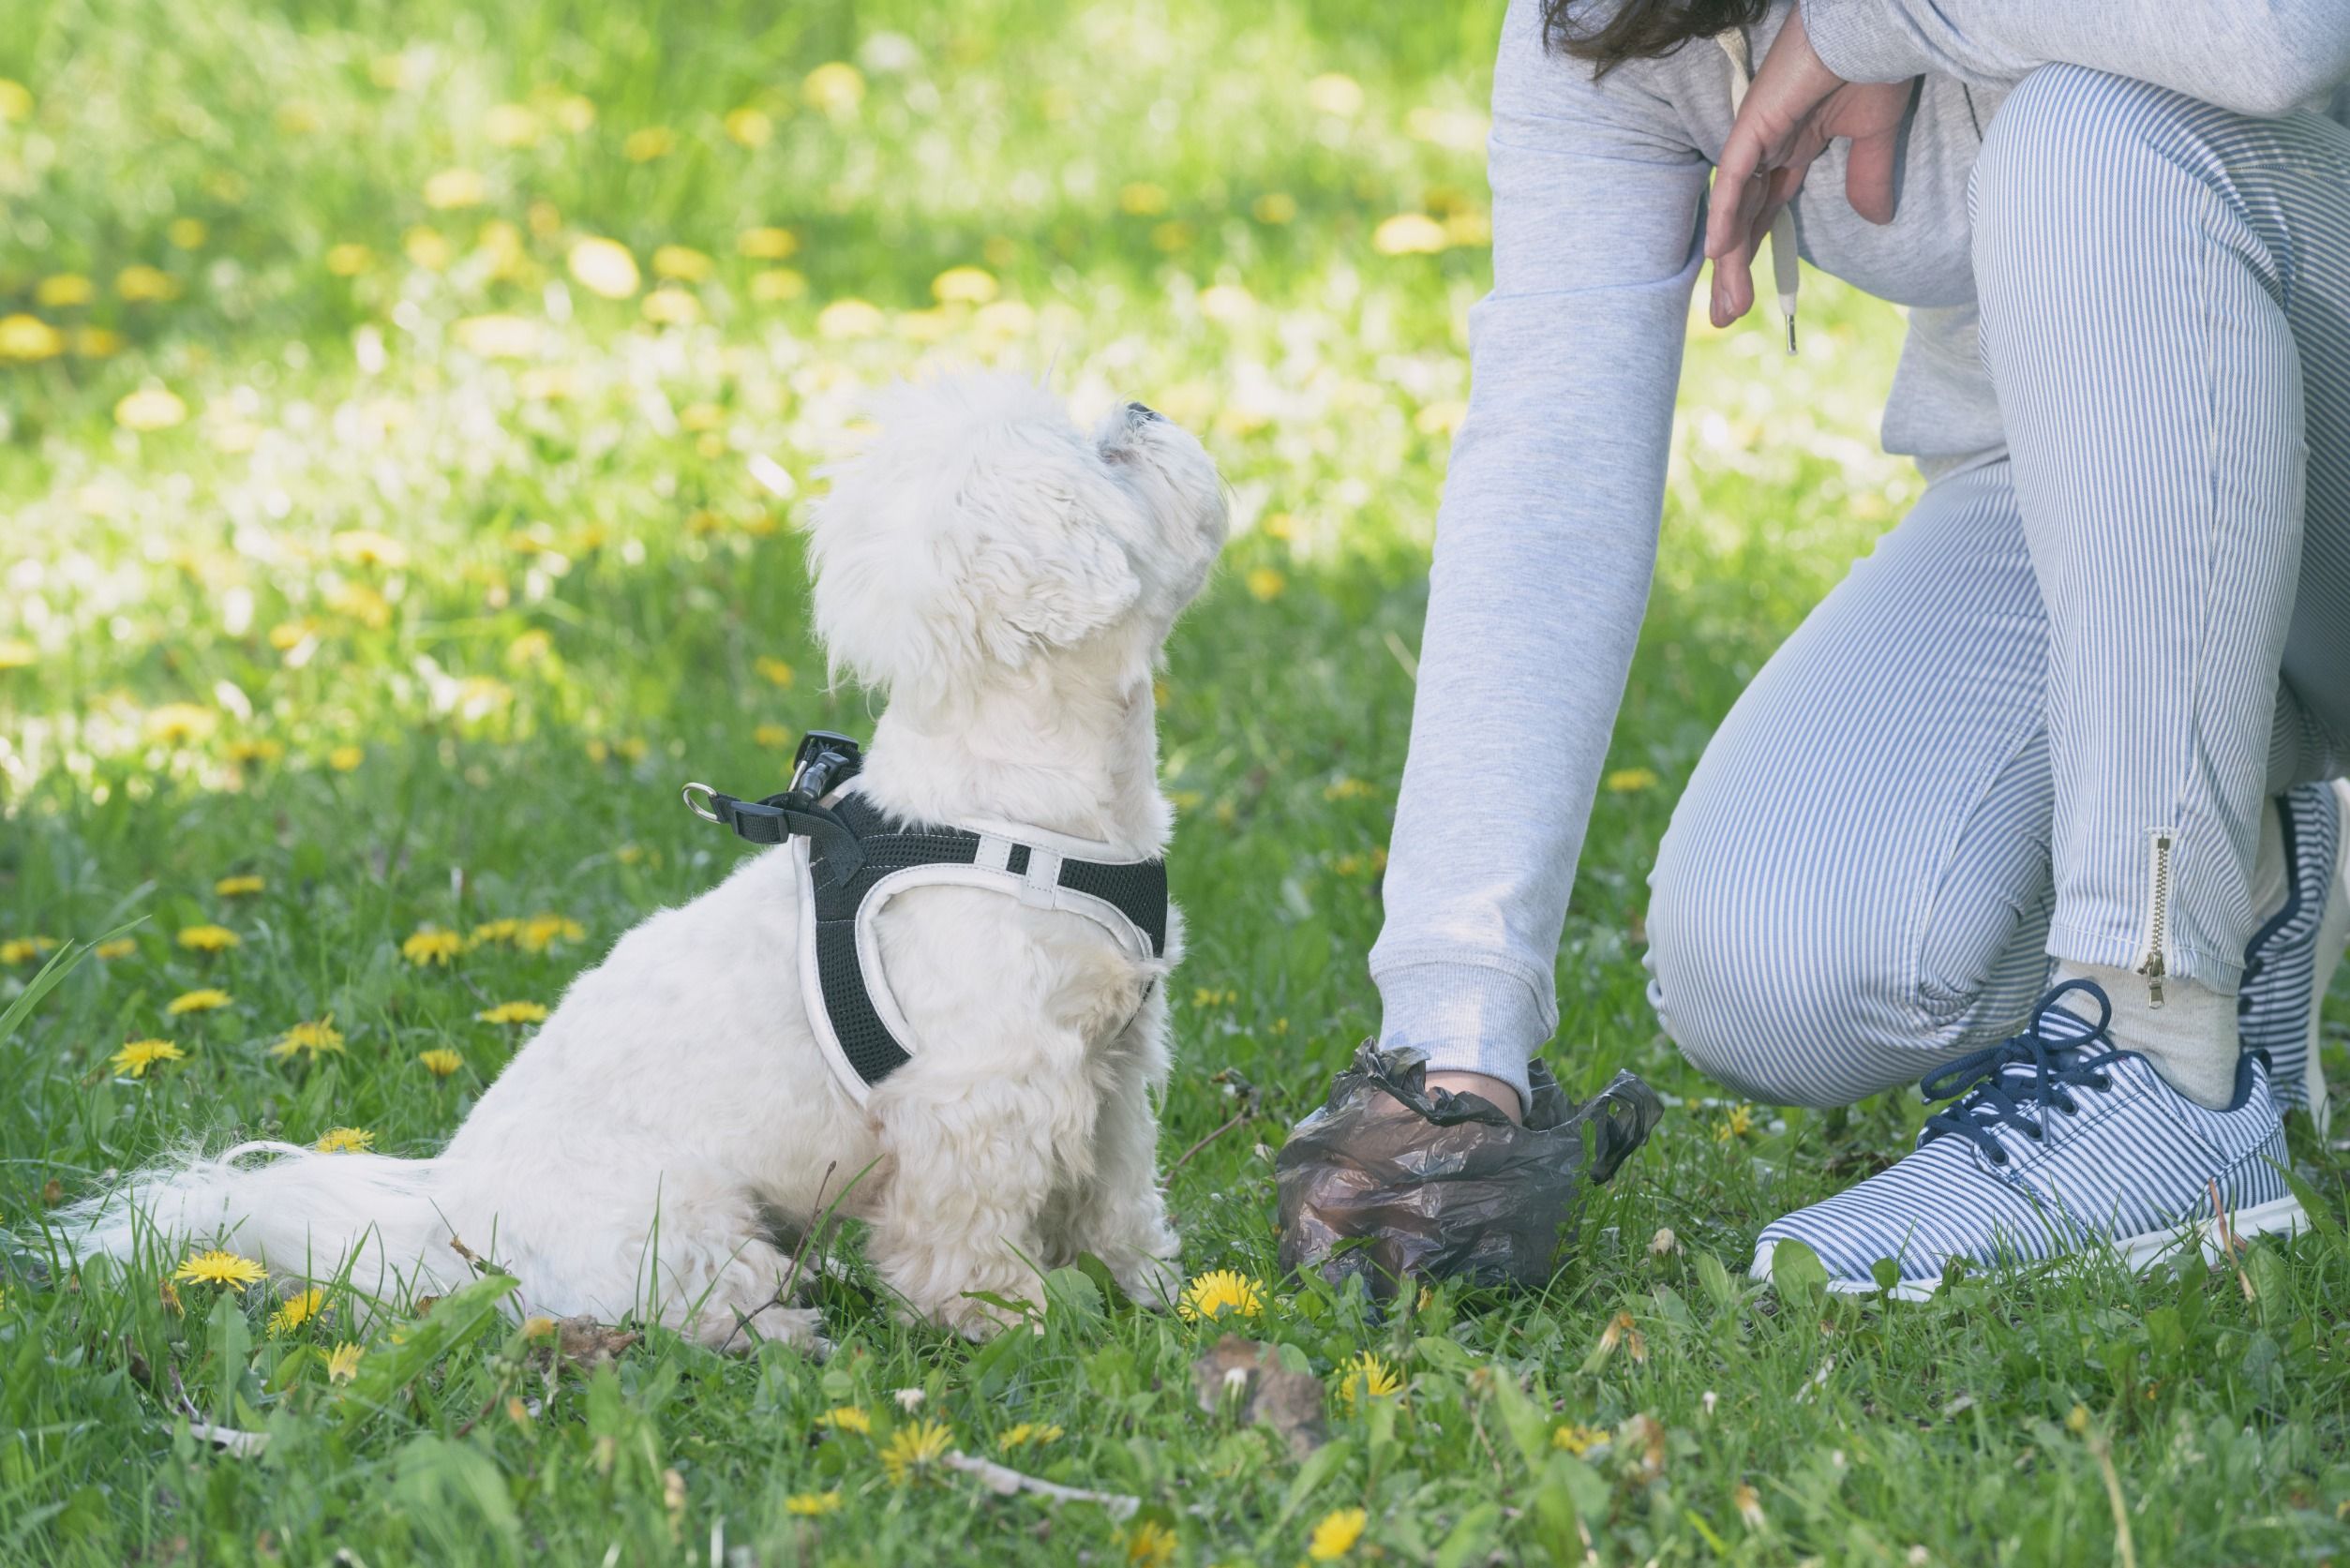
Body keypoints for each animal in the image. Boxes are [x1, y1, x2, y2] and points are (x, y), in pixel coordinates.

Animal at [68, 376, 1231, 1353]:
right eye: (1106, 453)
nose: (1141, 405)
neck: (1012, 802)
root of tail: (451, 1214)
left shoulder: (1115, 1059)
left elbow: (1117, 1194)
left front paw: (1148, 1287)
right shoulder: (980, 1092)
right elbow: (967, 1232)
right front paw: (1006, 1316)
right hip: (677, 1220)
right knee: (693, 1296)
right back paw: (783, 1328)